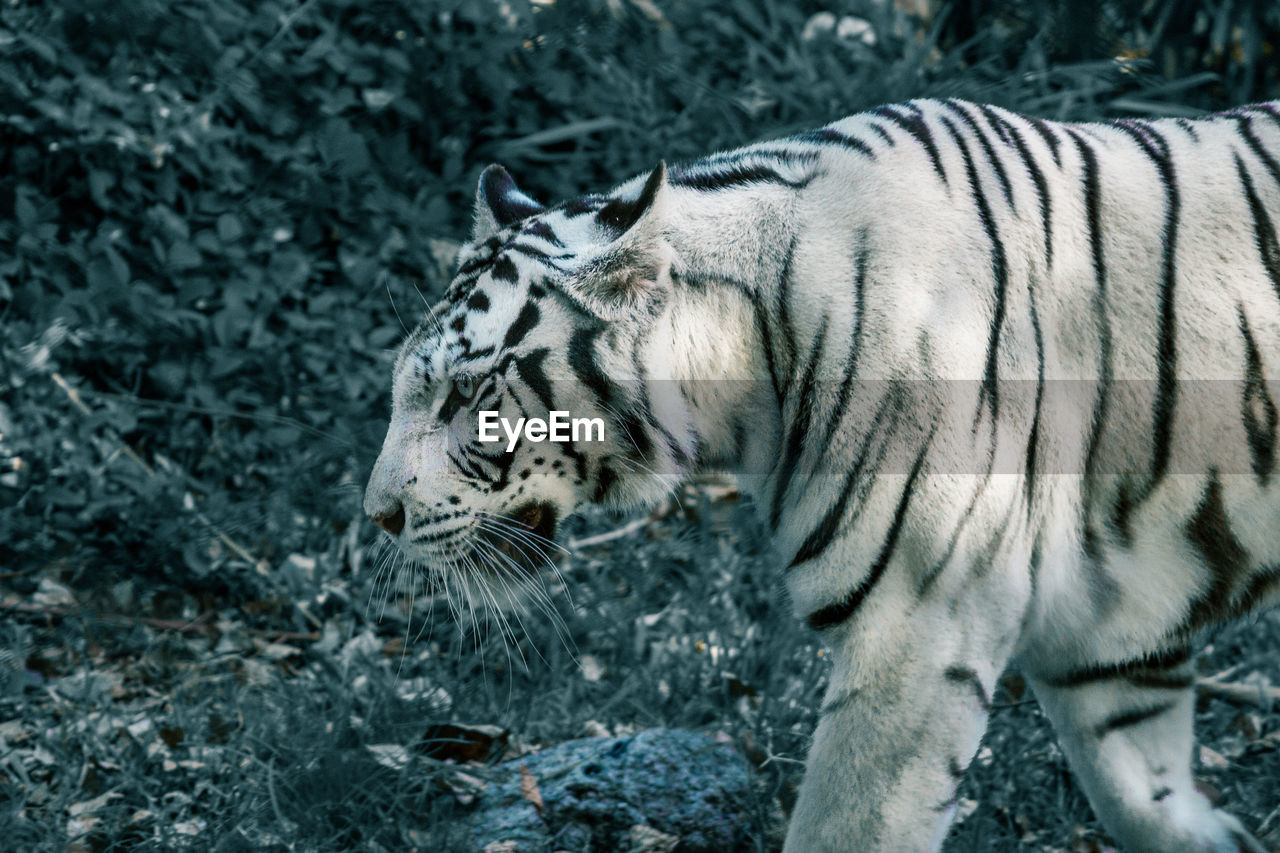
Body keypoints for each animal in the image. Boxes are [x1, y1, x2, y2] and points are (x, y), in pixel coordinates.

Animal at [366, 97, 1280, 845]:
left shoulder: (921, 624)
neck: (750, 369)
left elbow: (847, 822)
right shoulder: (1105, 628)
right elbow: (1141, 793)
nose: (379, 515)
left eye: (465, 393)